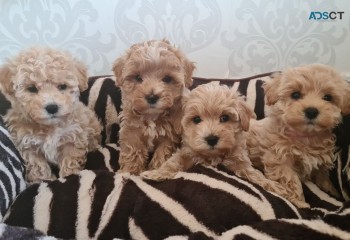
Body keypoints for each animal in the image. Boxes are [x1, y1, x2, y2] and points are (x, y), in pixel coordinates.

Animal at [0, 46, 101, 182]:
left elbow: (70, 160)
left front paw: (69, 176)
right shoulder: (28, 145)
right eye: (31, 88)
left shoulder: (72, 137)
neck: (49, 127)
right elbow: (38, 165)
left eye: (62, 86)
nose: (52, 107)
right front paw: (43, 180)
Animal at [113, 39, 196, 174]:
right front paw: (131, 170)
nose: (152, 97)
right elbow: (133, 149)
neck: (151, 115)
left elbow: (163, 151)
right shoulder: (131, 130)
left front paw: (156, 168)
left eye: (167, 79)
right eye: (138, 77)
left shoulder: (169, 135)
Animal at [246, 63, 350, 208]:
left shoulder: (321, 163)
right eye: (295, 95)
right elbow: (292, 181)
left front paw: (332, 192)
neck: (305, 137)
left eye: (328, 97)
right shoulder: (280, 161)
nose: (311, 111)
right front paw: (299, 203)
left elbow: (323, 178)